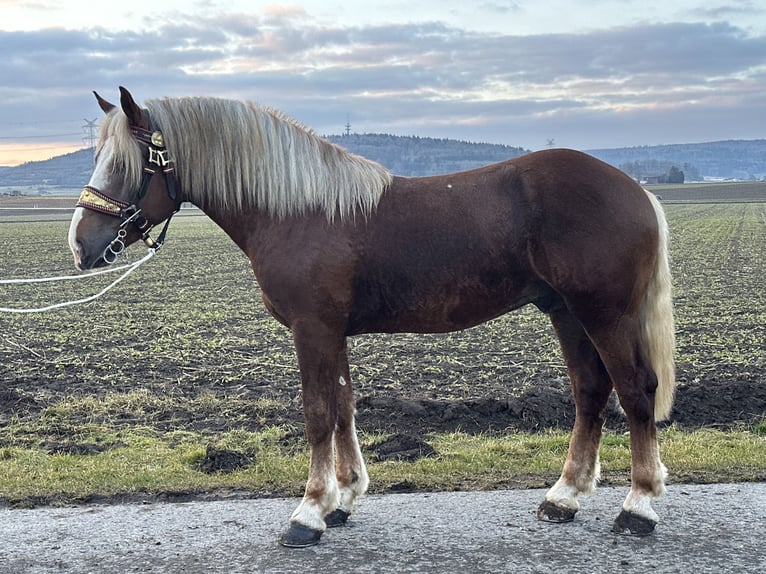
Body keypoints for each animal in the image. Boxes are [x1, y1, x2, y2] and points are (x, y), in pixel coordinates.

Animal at [69, 86, 676, 548]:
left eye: (125, 165)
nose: (80, 245)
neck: (298, 210)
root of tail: (637, 190)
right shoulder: (332, 332)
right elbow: (343, 407)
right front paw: (343, 497)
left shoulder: (313, 329)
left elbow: (318, 413)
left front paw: (309, 513)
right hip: (567, 314)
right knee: (590, 391)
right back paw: (564, 497)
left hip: (605, 315)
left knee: (636, 391)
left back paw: (639, 506)